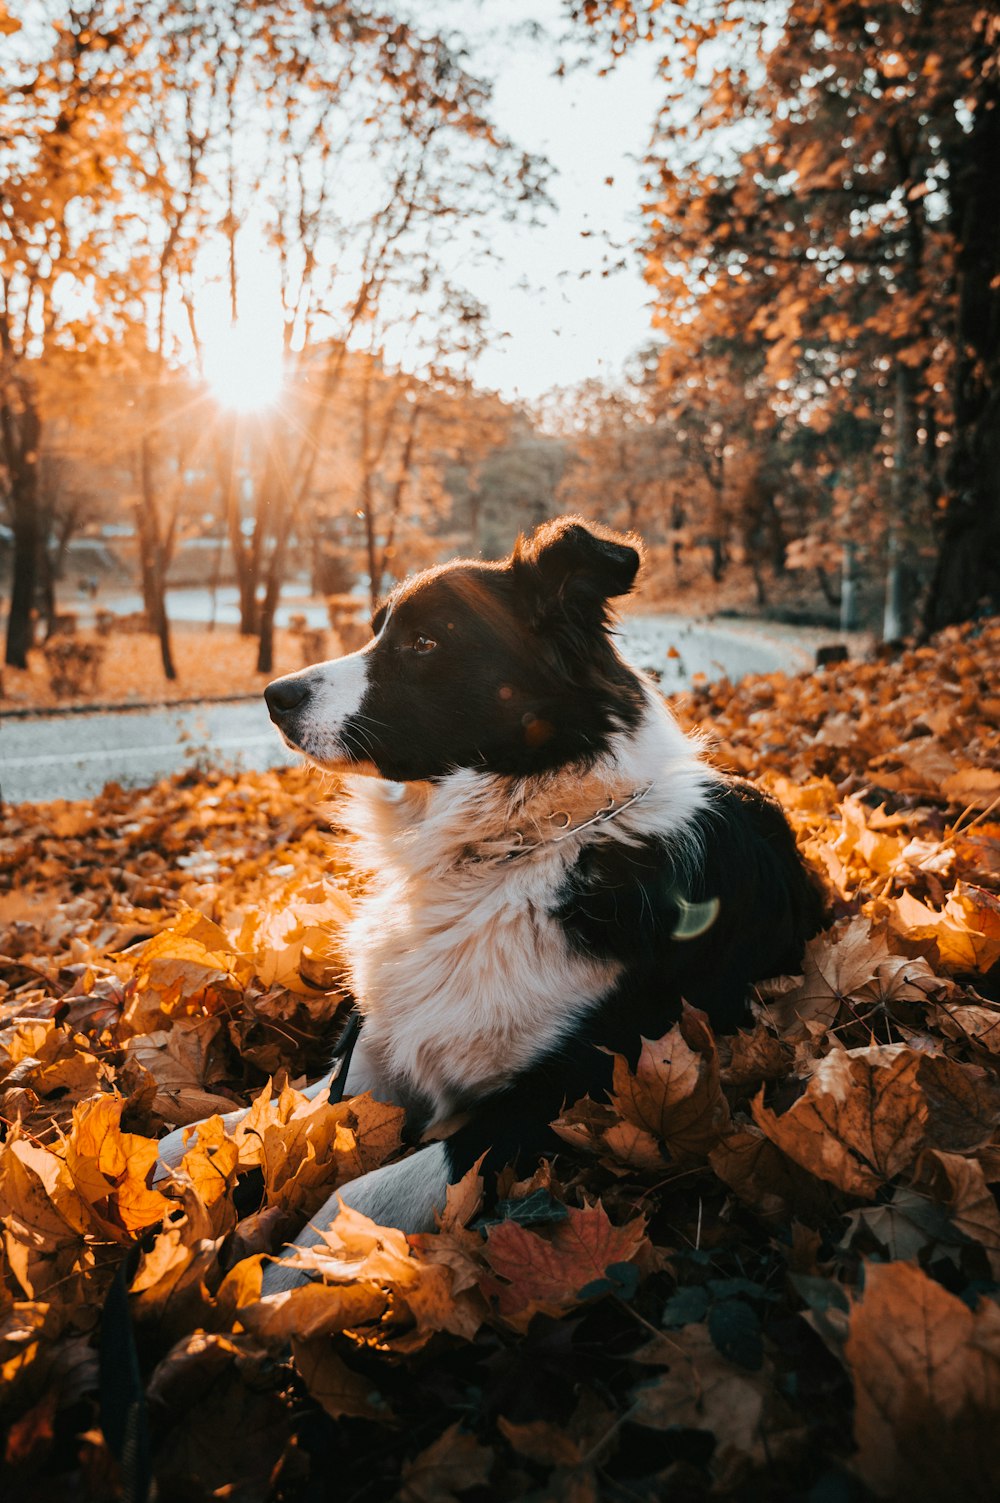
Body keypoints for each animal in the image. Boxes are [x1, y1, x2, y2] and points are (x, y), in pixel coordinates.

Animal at [156, 520, 818, 1292]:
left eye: (423, 642)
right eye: (378, 629)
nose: (273, 694)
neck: (507, 851)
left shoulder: (562, 1096)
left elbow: (361, 1190)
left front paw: (280, 1283)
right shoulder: (376, 1056)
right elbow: (247, 1121)